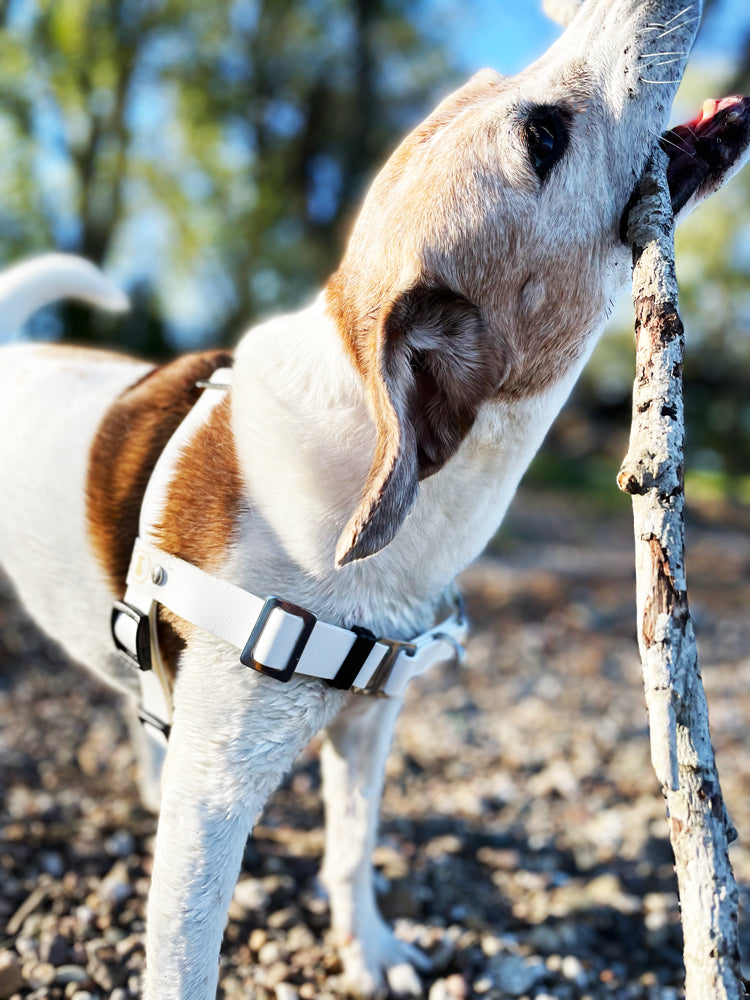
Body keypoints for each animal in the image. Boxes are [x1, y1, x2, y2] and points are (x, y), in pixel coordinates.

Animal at [1, 0, 750, 996]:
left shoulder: (367, 726)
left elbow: (353, 848)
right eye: (543, 137)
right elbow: (186, 954)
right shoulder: (213, 808)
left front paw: (371, 951)